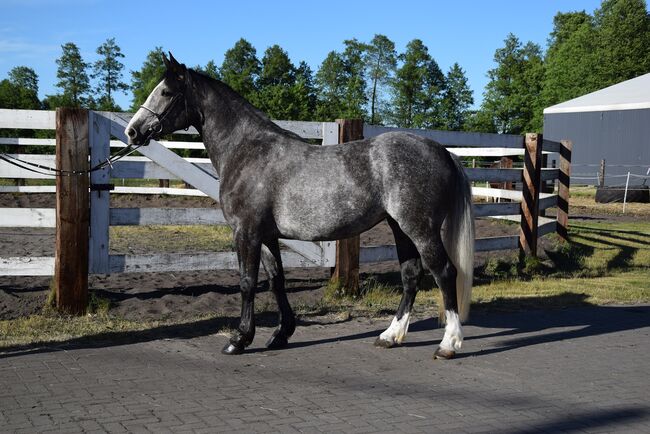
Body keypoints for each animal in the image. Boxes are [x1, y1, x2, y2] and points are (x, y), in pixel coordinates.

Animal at [126, 53, 475, 360]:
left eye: (166, 92)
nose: (132, 130)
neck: (247, 150)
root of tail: (443, 152)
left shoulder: (246, 232)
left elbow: (247, 282)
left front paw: (239, 340)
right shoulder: (267, 236)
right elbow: (275, 281)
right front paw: (281, 334)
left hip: (420, 229)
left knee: (444, 272)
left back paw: (448, 344)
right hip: (399, 228)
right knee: (411, 275)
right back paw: (390, 336)